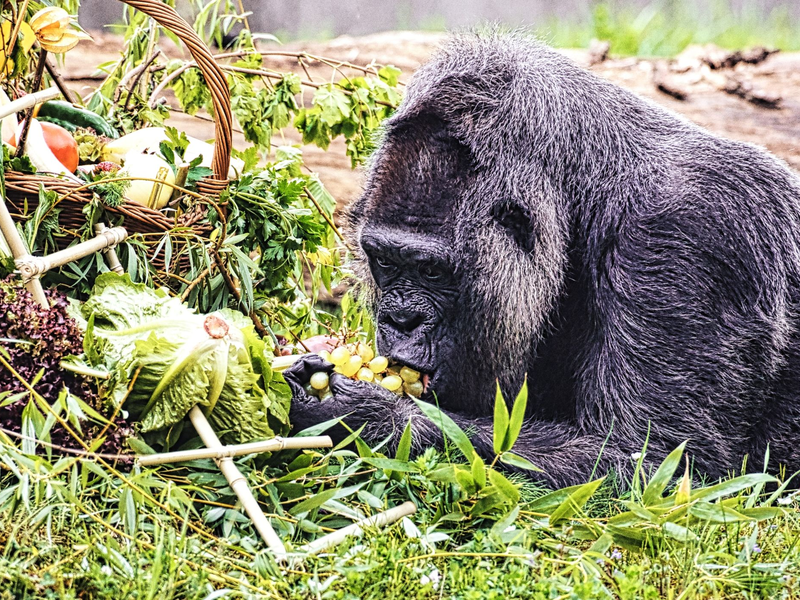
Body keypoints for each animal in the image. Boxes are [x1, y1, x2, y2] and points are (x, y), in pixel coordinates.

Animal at [285, 31, 800, 488]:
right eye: (386, 262)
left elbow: (657, 465)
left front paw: (363, 413)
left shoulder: (687, 237)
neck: (586, 195)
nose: (400, 320)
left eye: (431, 270)